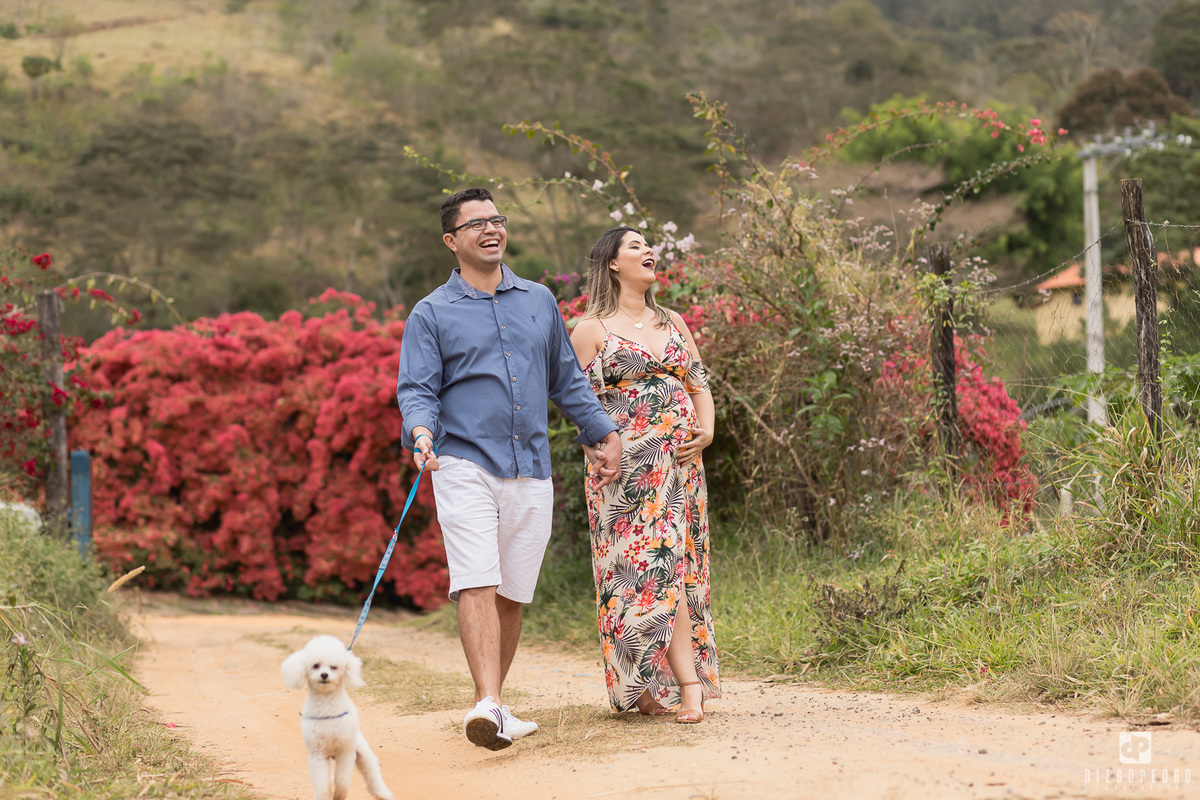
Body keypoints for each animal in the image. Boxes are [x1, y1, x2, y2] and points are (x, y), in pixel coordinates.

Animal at [281, 635, 394, 800]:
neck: (327, 707)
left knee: (372, 775)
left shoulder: (345, 751)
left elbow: (342, 782)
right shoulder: (318, 754)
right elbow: (323, 785)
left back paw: (383, 794)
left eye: (333, 667)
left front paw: (339, 794)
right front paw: (324, 796)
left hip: (363, 754)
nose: (324, 675)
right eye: (316, 665)